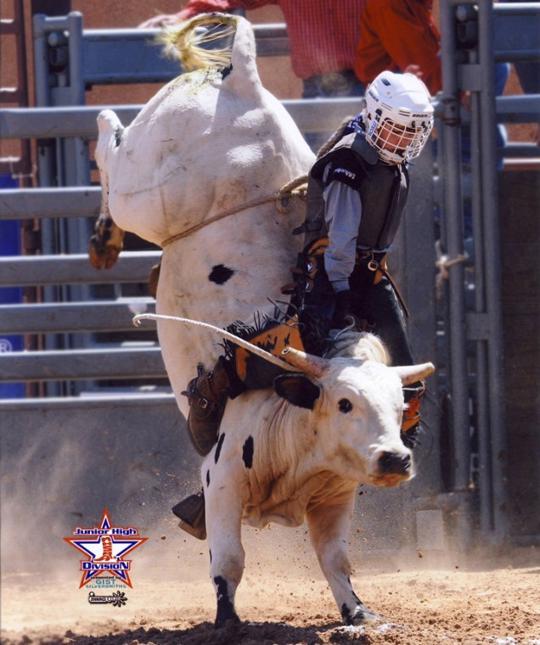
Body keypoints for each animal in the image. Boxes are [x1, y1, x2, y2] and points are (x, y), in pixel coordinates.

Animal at [93, 13, 435, 628]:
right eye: (344, 403)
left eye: (401, 405)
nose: (396, 457)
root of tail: (246, 83)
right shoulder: (222, 479)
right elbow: (228, 558)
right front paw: (227, 620)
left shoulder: (335, 497)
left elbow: (336, 559)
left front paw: (358, 613)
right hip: (146, 185)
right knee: (113, 157)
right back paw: (104, 214)